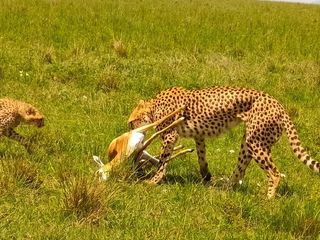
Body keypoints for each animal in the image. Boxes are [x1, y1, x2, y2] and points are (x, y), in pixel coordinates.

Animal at [128, 86, 320, 199]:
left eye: (132, 121)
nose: (129, 129)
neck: (154, 106)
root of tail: (279, 104)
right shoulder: (199, 135)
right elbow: (201, 155)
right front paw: (206, 175)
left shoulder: (169, 136)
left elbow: (163, 161)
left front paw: (153, 181)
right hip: (248, 142)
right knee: (240, 170)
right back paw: (222, 187)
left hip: (256, 143)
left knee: (274, 173)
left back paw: (268, 200)